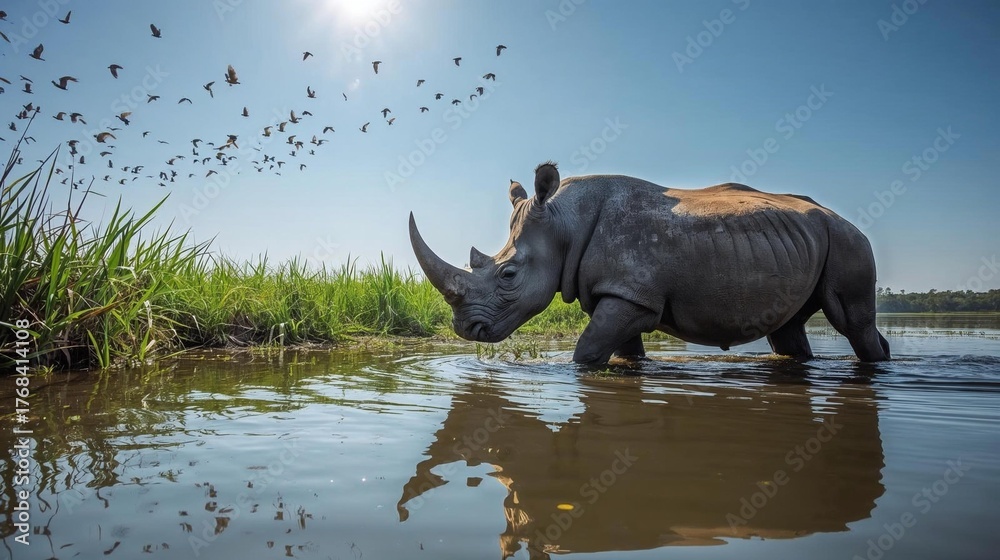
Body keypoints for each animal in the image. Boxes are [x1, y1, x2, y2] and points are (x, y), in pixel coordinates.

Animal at [409, 162, 890, 365]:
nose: (464, 330)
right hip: (802, 242)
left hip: (847, 242)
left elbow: (587, 351)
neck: (563, 221)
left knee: (851, 321)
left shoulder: (631, 294)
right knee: (788, 330)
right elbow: (623, 352)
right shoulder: (619, 292)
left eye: (508, 275)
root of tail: (842, 218)